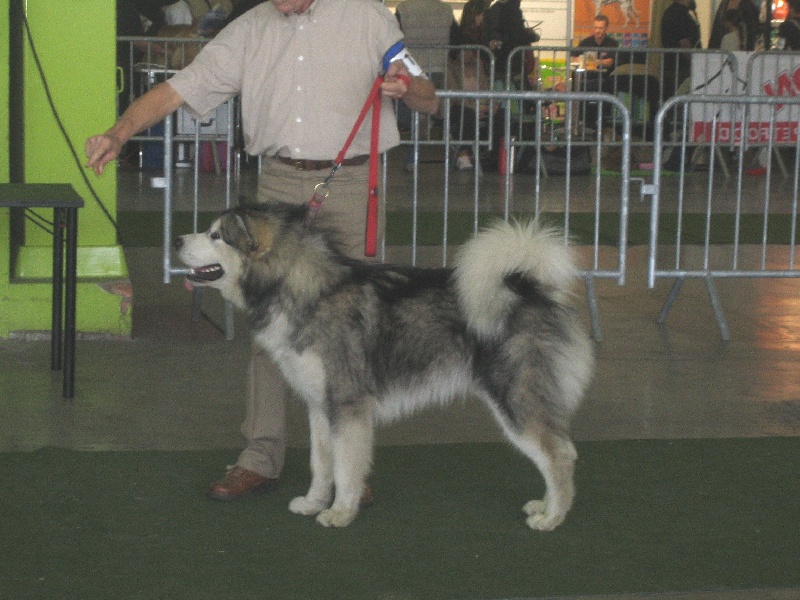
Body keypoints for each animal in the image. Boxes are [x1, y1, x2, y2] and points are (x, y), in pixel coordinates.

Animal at [175, 203, 592, 528]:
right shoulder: (319, 405)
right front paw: (313, 502)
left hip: (515, 399)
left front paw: (340, 512)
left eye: (216, 235)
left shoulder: (347, 405)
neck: (303, 291)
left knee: (560, 455)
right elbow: (321, 463)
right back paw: (545, 505)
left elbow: (345, 467)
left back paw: (552, 517)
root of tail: (529, 288)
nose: (178, 240)